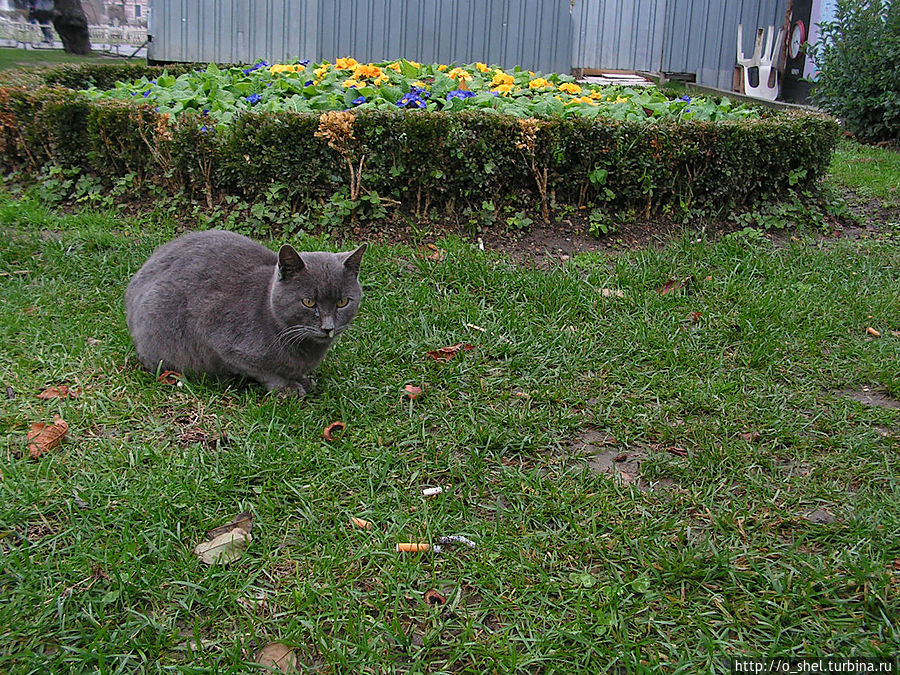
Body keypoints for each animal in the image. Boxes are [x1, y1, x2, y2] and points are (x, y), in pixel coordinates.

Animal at [125, 230, 366, 394]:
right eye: (308, 302)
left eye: (342, 302)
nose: (328, 327)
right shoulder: (223, 340)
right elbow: (265, 371)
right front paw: (287, 387)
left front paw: (303, 379)